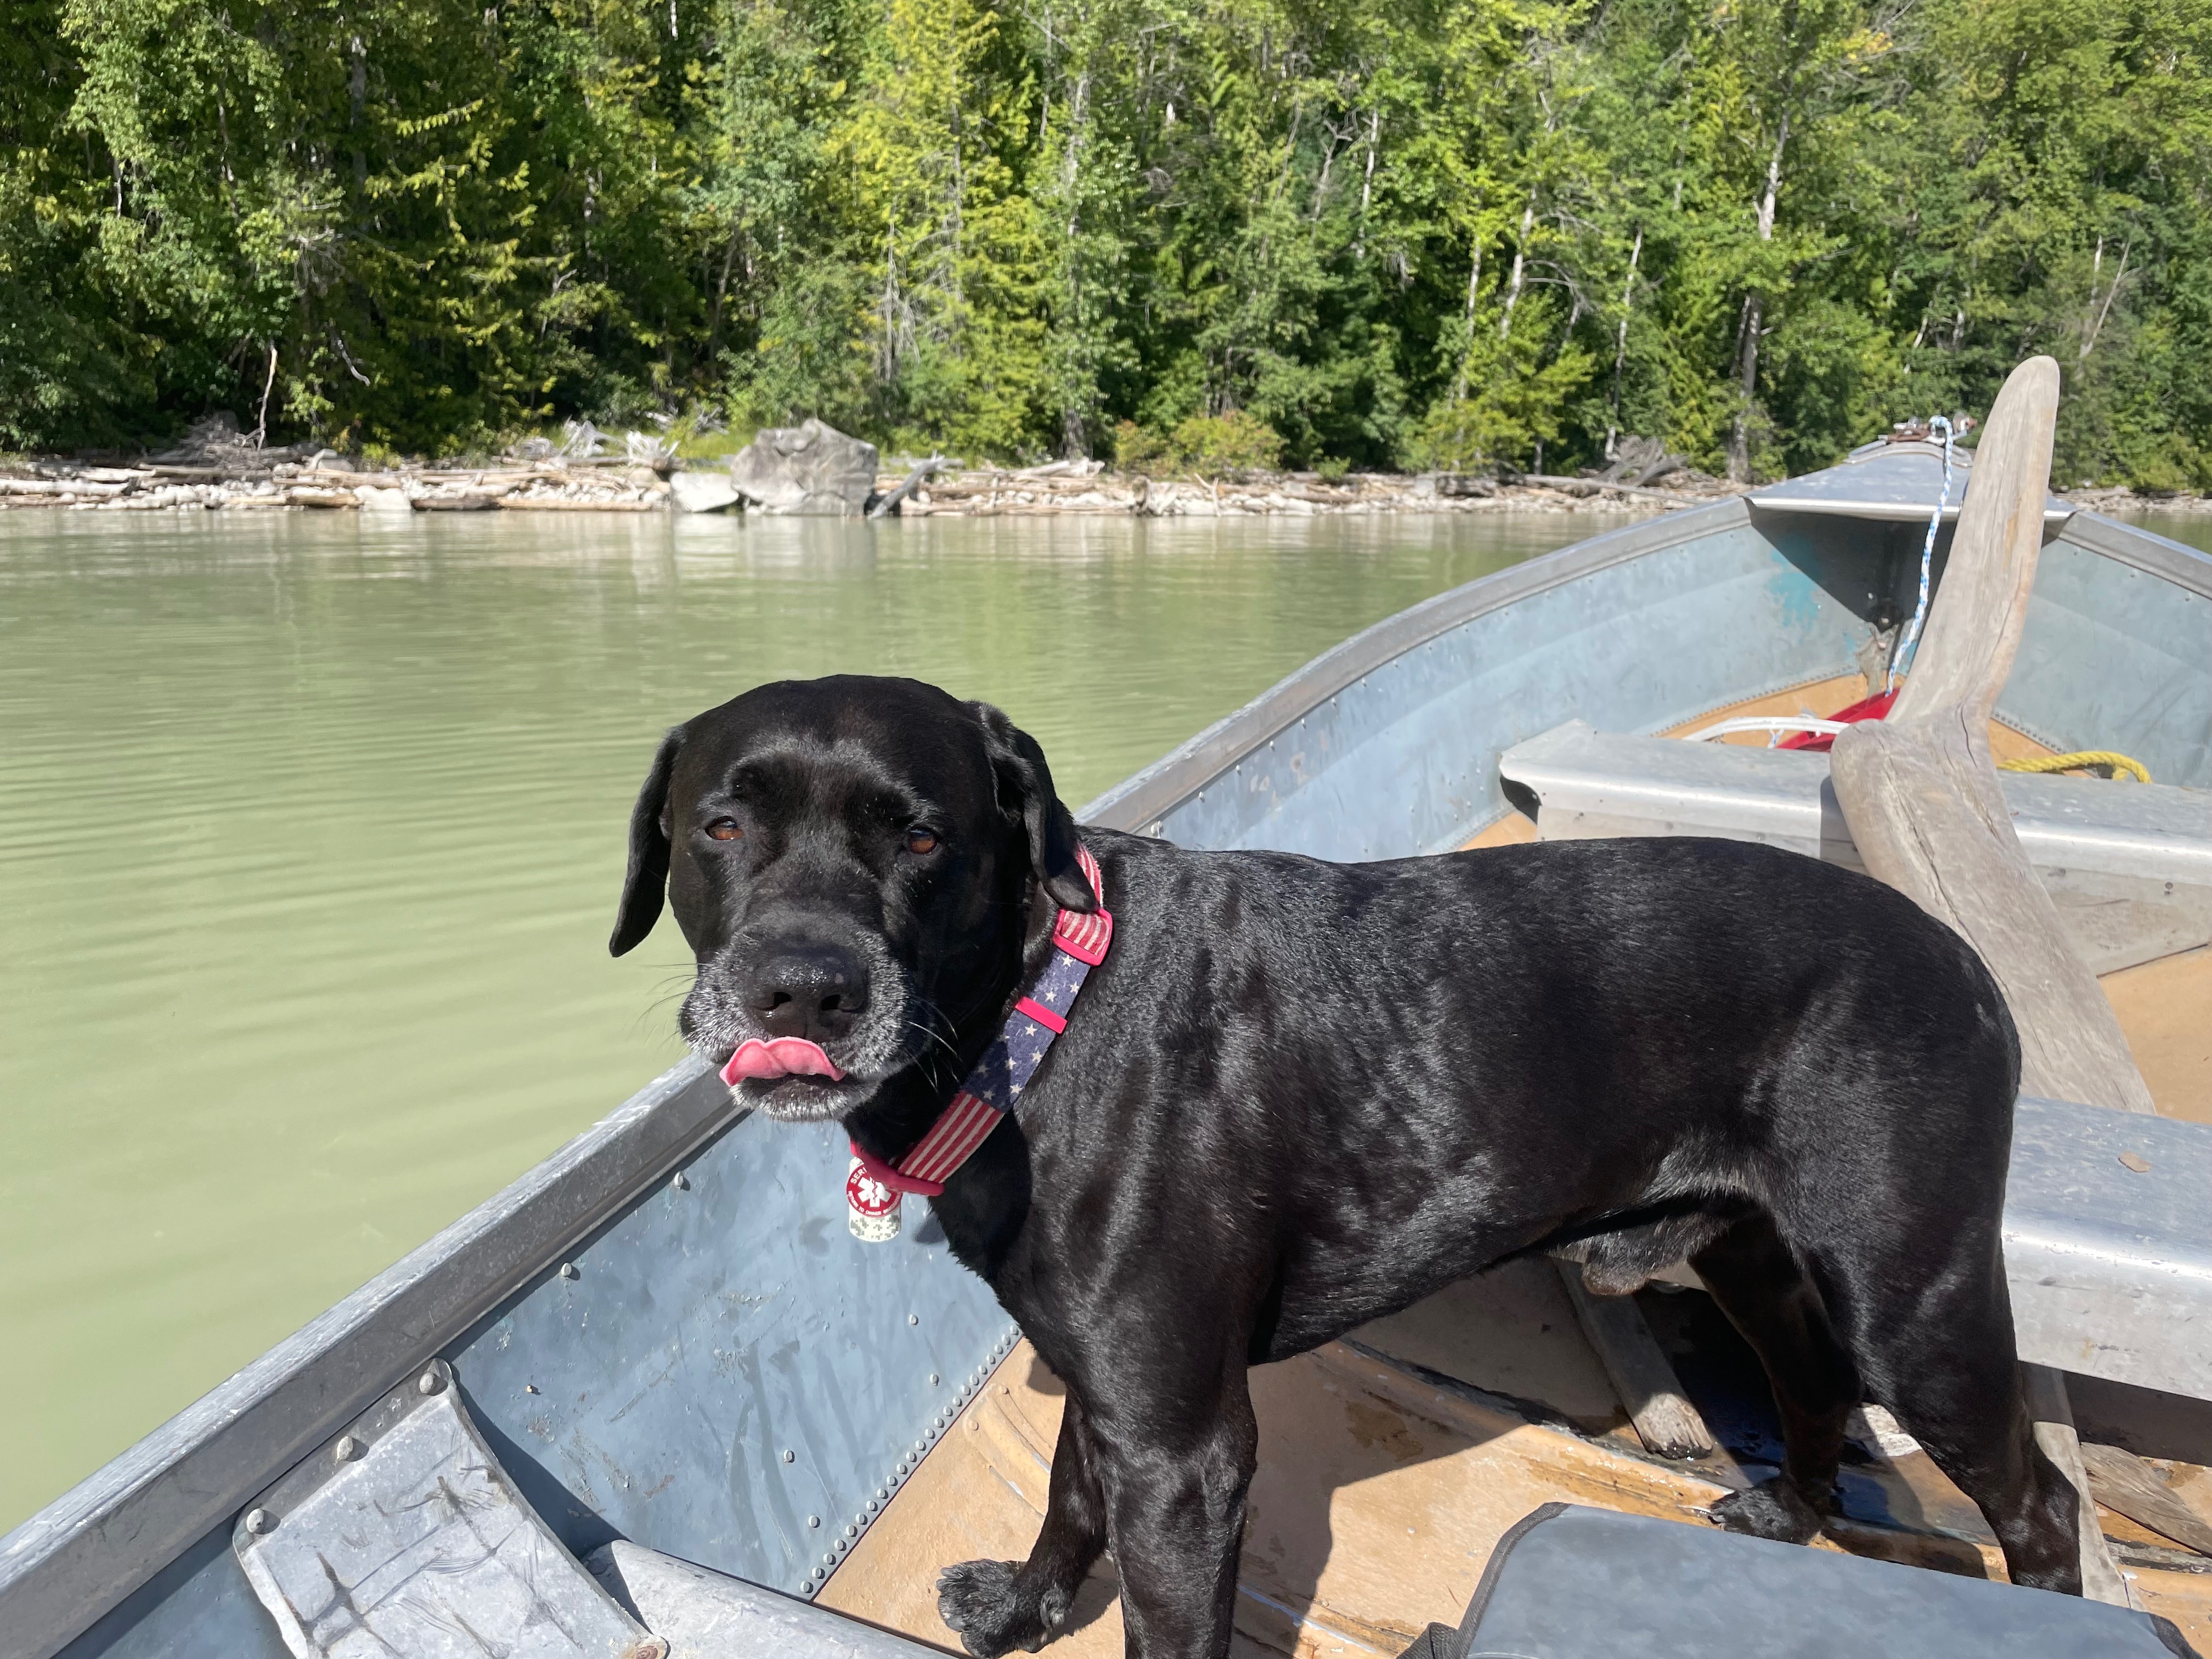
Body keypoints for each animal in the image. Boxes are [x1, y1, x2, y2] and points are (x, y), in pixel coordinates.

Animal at [611, 674, 2084, 1658]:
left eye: (923, 836)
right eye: (720, 829)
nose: (805, 988)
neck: (1037, 1017)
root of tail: (1965, 963)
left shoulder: (1186, 1447)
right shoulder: (1113, 1383)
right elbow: (1067, 1495)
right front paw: (1027, 1609)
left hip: (1912, 1299)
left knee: (2042, 1498)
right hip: (1756, 1255)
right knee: (1810, 1384)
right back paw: (1789, 1514)